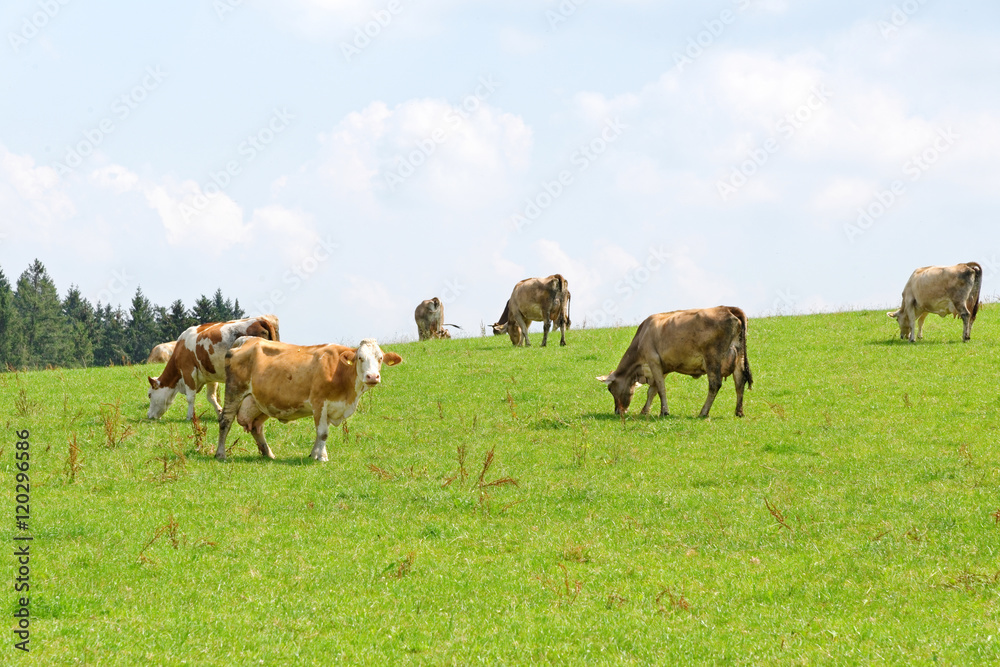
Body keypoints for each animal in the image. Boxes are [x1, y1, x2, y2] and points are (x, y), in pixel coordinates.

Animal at [145, 316, 280, 420]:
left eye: (150, 395)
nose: (149, 415)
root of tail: (259, 320)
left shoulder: (188, 371)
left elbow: (190, 397)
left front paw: (189, 416)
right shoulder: (210, 376)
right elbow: (211, 397)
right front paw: (220, 413)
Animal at [216, 336, 402, 462]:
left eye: (380, 358)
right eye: (360, 358)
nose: (372, 376)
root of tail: (247, 339)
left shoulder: (331, 407)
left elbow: (322, 434)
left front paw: (316, 454)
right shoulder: (319, 402)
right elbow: (323, 433)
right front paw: (321, 458)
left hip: (260, 402)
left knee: (256, 427)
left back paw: (268, 454)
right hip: (234, 391)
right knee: (225, 421)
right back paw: (220, 453)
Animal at [596, 306, 752, 418]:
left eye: (610, 389)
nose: (618, 411)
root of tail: (728, 308)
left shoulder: (653, 361)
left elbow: (661, 388)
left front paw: (664, 412)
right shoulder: (663, 366)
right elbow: (652, 391)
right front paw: (645, 411)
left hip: (712, 359)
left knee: (715, 385)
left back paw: (703, 412)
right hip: (738, 357)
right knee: (740, 382)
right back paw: (739, 412)